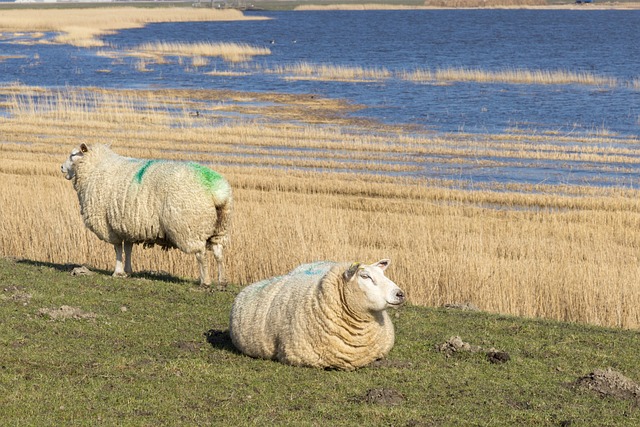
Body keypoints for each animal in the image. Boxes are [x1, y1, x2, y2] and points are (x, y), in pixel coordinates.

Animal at [60, 144, 232, 288]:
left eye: (73, 154)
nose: (61, 167)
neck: (94, 167)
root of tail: (218, 191)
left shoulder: (109, 226)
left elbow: (118, 249)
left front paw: (117, 272)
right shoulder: (127, 225)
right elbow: (128, 248)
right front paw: (128, 271)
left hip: (190, 227)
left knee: (201, 254)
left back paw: (205, 282)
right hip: (220, 228)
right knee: (218, 252)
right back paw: (222, 282)